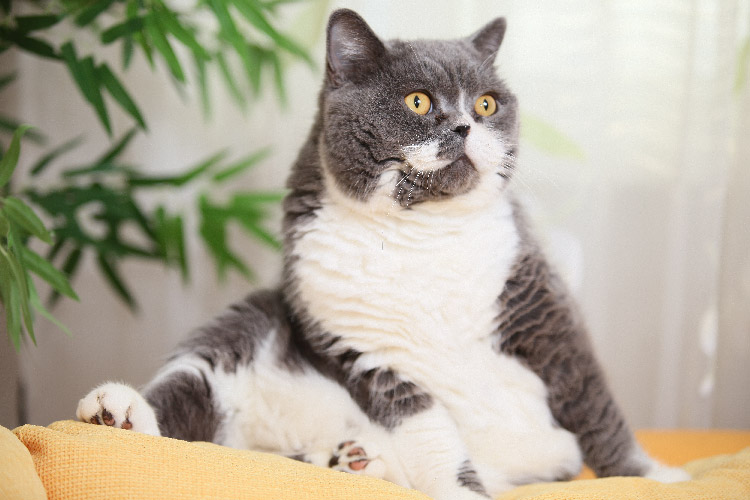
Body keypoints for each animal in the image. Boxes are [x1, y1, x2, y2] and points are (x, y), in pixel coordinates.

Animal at [78, 8, 692, 500]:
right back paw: (116, 415)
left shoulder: (546, 315)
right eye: (417, 101)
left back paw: (354, 460)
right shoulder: (368, 352)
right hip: (241, 328)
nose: (465, 125)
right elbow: (431, 432)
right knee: (185, 399)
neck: (420, 235)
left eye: (487, 103)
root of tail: (261, 443)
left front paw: (655, 477)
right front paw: (459, 492)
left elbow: (597, 409)